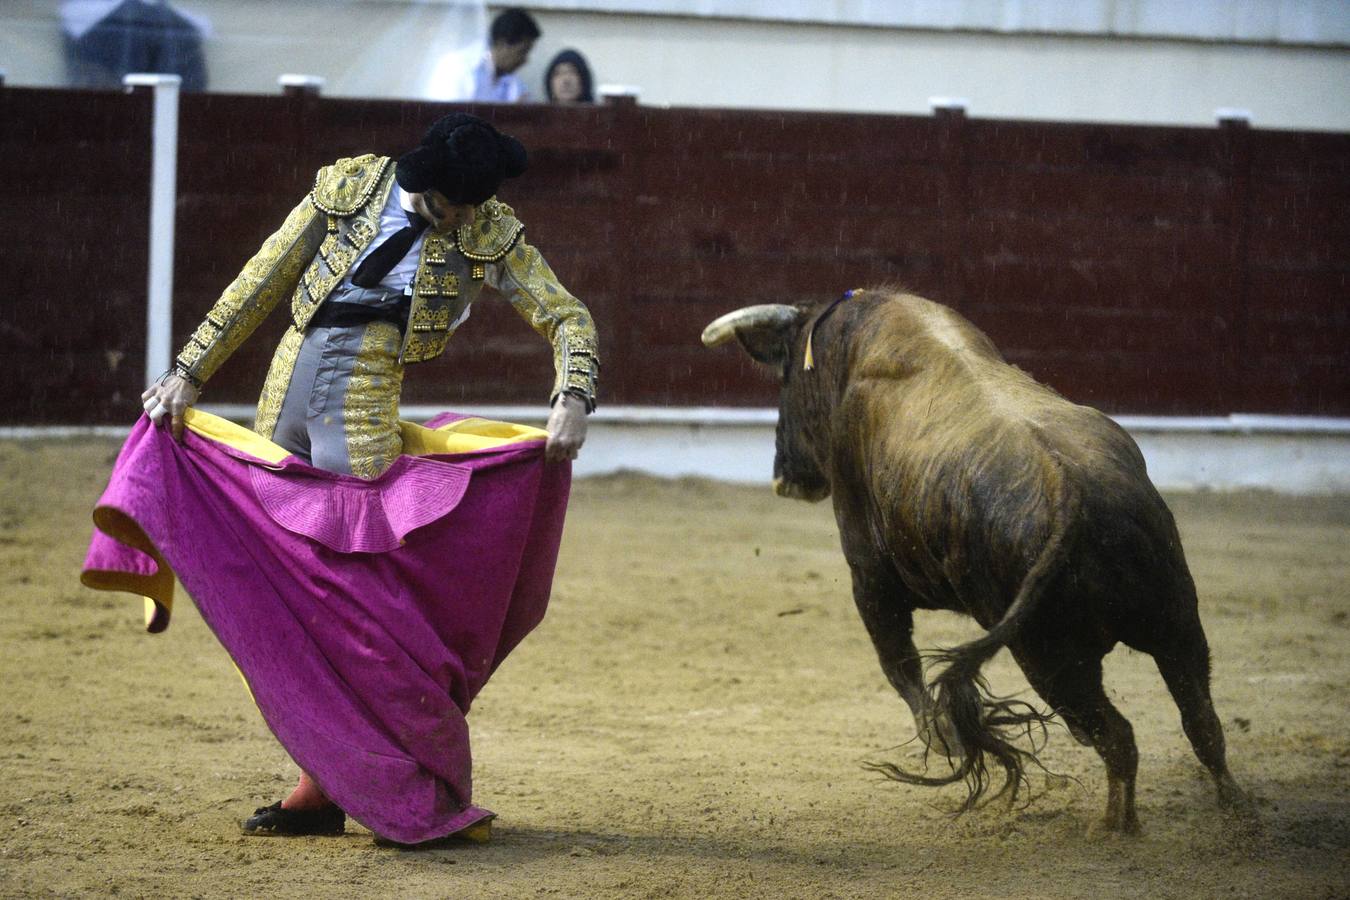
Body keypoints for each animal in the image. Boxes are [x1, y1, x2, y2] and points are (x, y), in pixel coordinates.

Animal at [702, 292, 1247, 836]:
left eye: (784, 380)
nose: (784, 476)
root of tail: (1072, 490)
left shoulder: (868, 575)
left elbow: (899, 663)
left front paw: (941, 736)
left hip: (1053, 658)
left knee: (1117, 736)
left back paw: (1117, 826)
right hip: (1175, 621)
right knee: (1201, 721)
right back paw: (1235, 812)